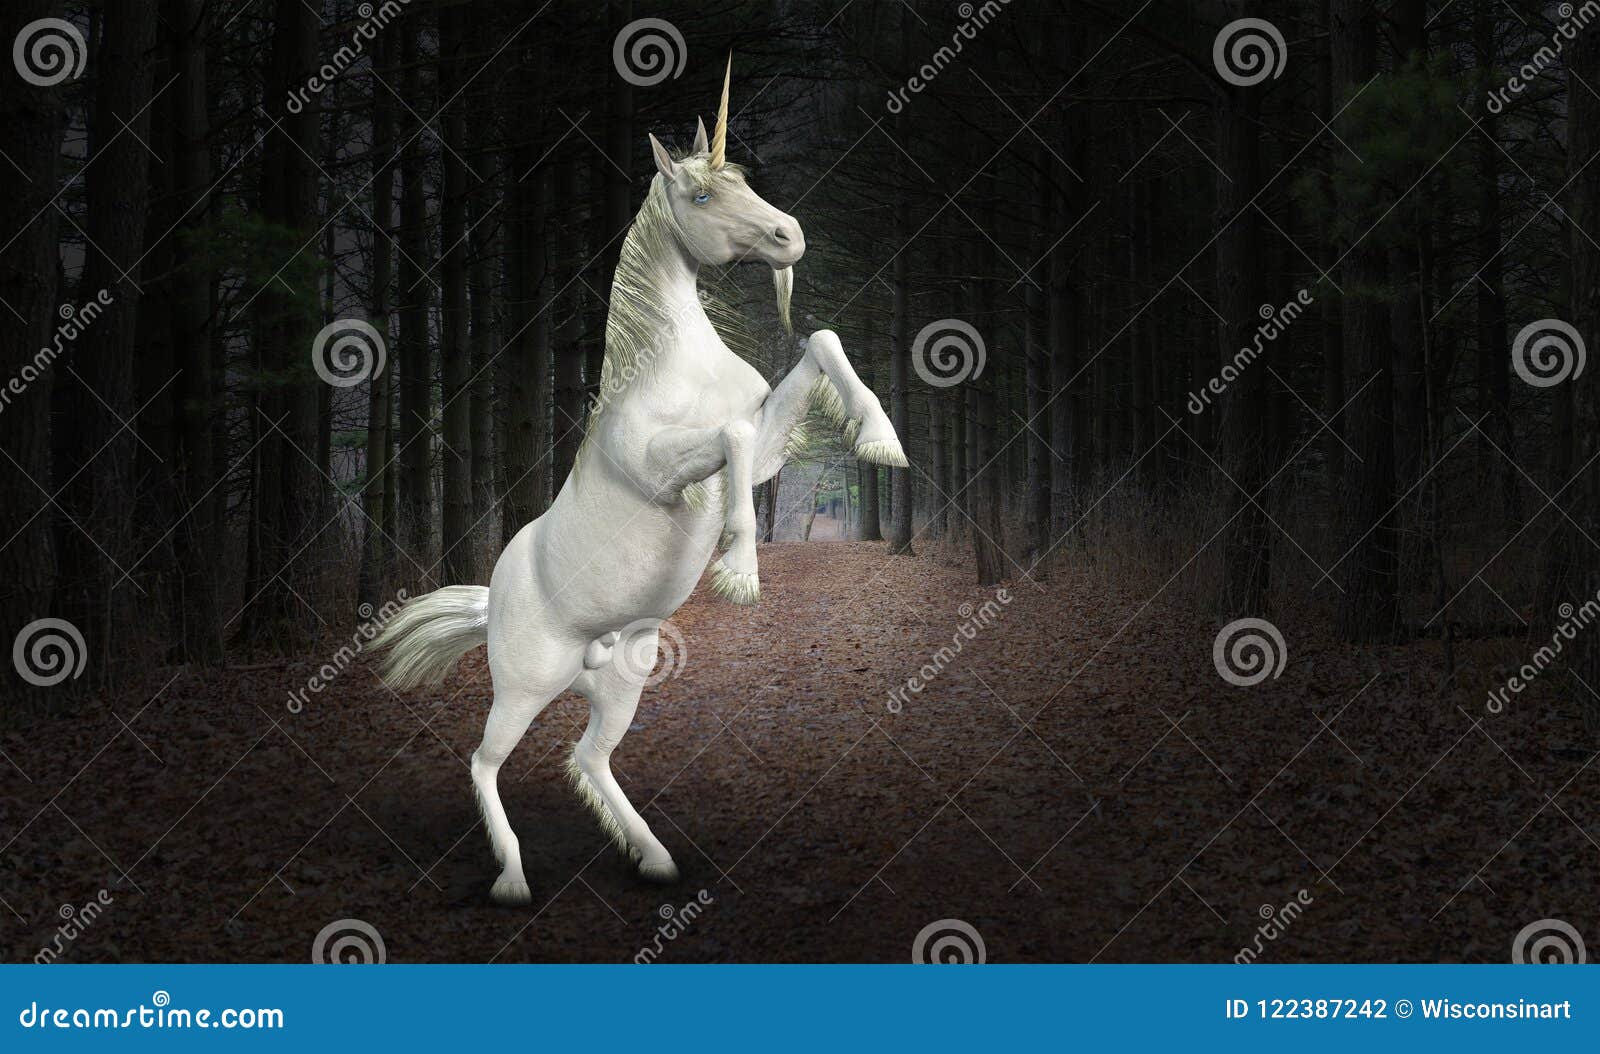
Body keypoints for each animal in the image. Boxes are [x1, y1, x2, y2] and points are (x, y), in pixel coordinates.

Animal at [372, 63, 906, 905]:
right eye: (701, 195)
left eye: (744, 179)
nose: (790, 236)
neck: (673, 364)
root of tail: (493, 598)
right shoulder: (666, 469)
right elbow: (731, 436)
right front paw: (740, 571)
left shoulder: (762, 455)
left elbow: (816, 347)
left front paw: (884, 442)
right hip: (523, 689)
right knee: (485, 762)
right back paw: (513, 879)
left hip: (622, 681)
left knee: (586, 759)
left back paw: (654, 859)